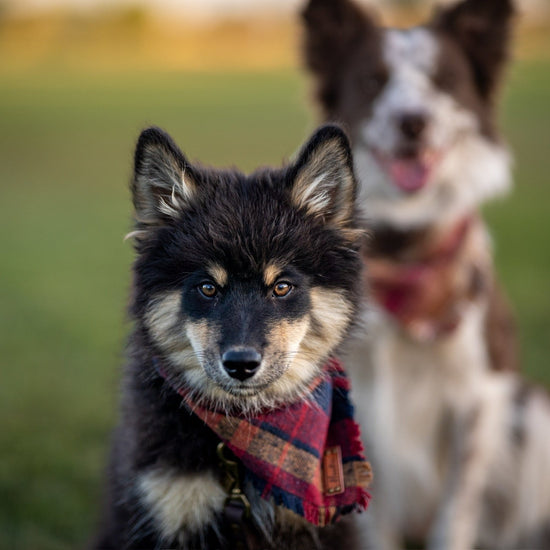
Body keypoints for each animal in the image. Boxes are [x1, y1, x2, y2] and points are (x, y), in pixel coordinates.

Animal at [304, 1, 550, 550]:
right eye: (372, 81)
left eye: (445, 80)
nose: (412, 121)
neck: (405, 248)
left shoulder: (477, 399)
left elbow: (456, 511)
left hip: (533, 416)